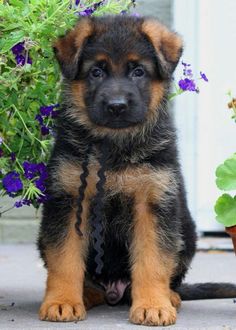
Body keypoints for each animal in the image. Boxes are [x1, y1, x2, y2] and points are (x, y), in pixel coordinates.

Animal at [37, 14, 236, 324]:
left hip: (187, 232)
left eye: (138, 72)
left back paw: (170, 296)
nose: (116, 106)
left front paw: (153, 305)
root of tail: (114, 291)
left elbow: (152, 260)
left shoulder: (152, 203)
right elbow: (64, 259)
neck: (114, 145)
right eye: (96, 72)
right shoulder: (68, 201)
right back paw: (86, 295)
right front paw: (62, 301)